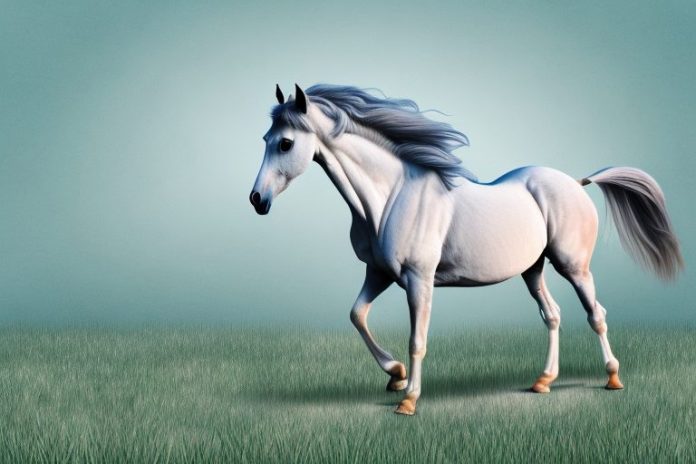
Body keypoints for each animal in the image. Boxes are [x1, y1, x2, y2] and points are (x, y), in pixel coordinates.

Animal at [249, 83, 683, 415]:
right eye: (266, 140)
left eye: (285, 143)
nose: (257, 200)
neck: (391, 196)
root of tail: (576, 183)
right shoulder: (380, 273)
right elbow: (357, 315)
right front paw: (395, 374)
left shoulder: (418, 280)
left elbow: (417, 340)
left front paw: (408, 400)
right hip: (533, 269)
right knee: (553, 315)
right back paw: (543, 381)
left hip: (572, 265)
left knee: (596, 314)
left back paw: (612, 377)